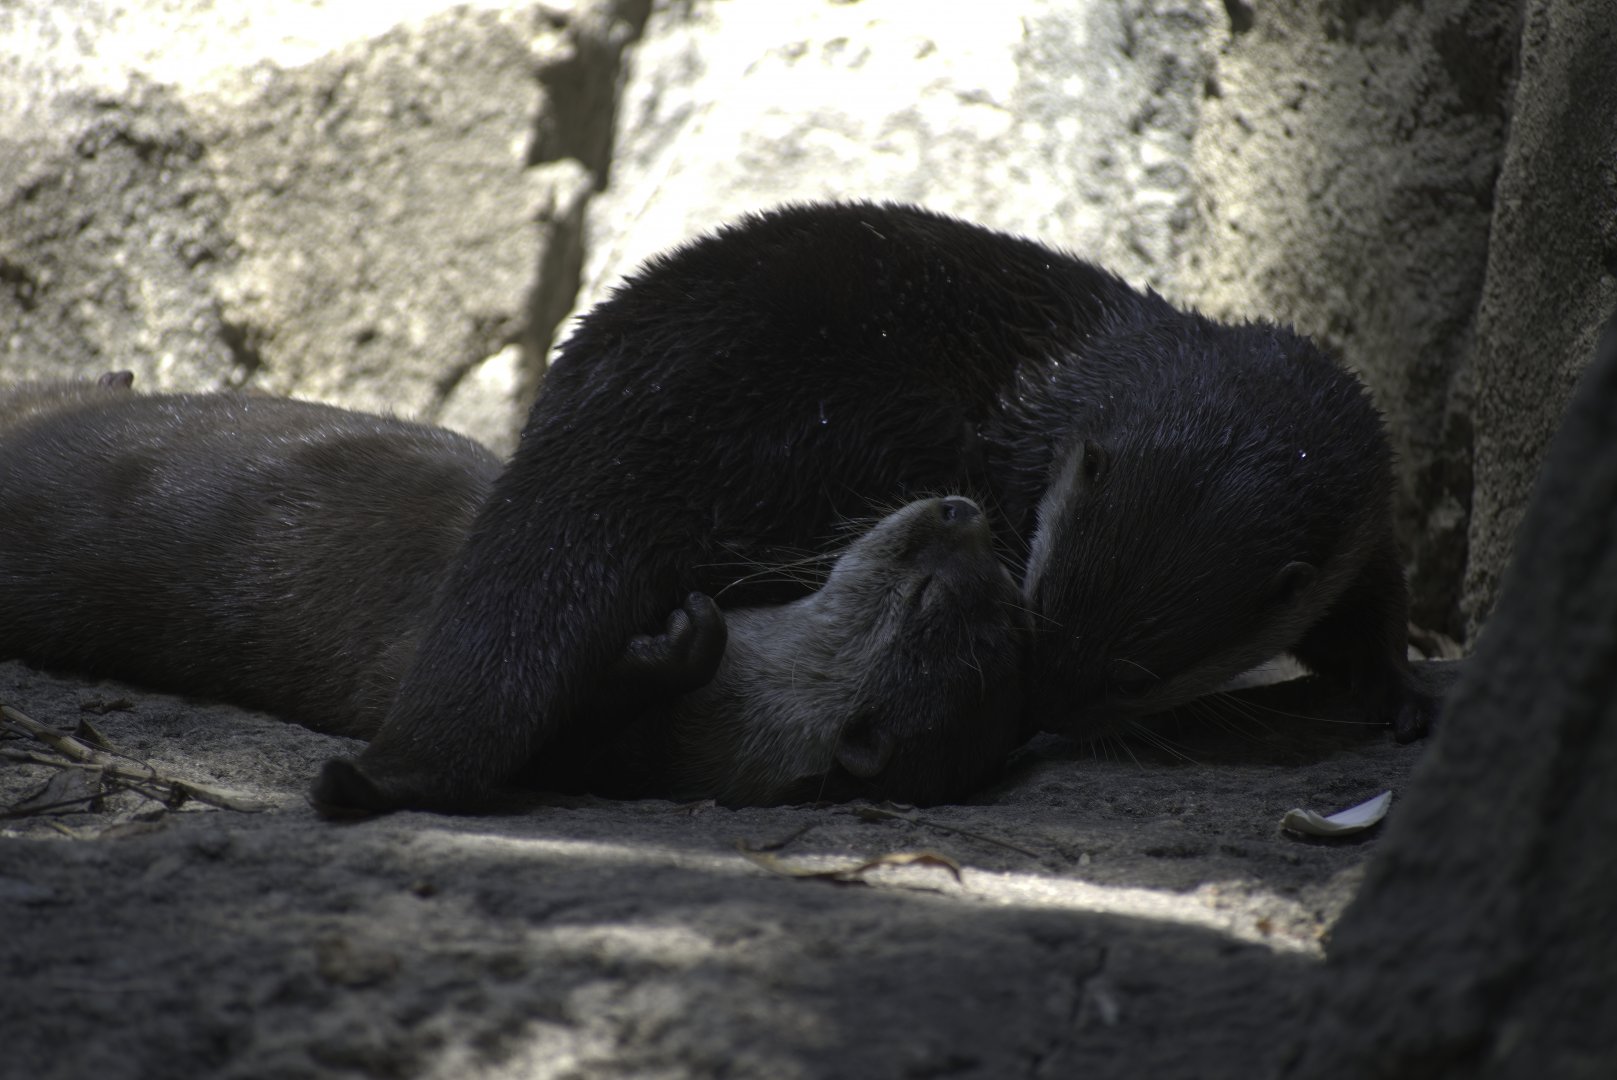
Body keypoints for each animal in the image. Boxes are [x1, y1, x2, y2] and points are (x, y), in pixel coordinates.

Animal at [318, 200, 1437, 813]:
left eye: (1133, 677)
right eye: (1038, 612)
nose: (1036, 714)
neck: (1083, 375)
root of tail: (611, 421)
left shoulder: (1362, 503)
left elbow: (1366, 604)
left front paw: (1398, 693)